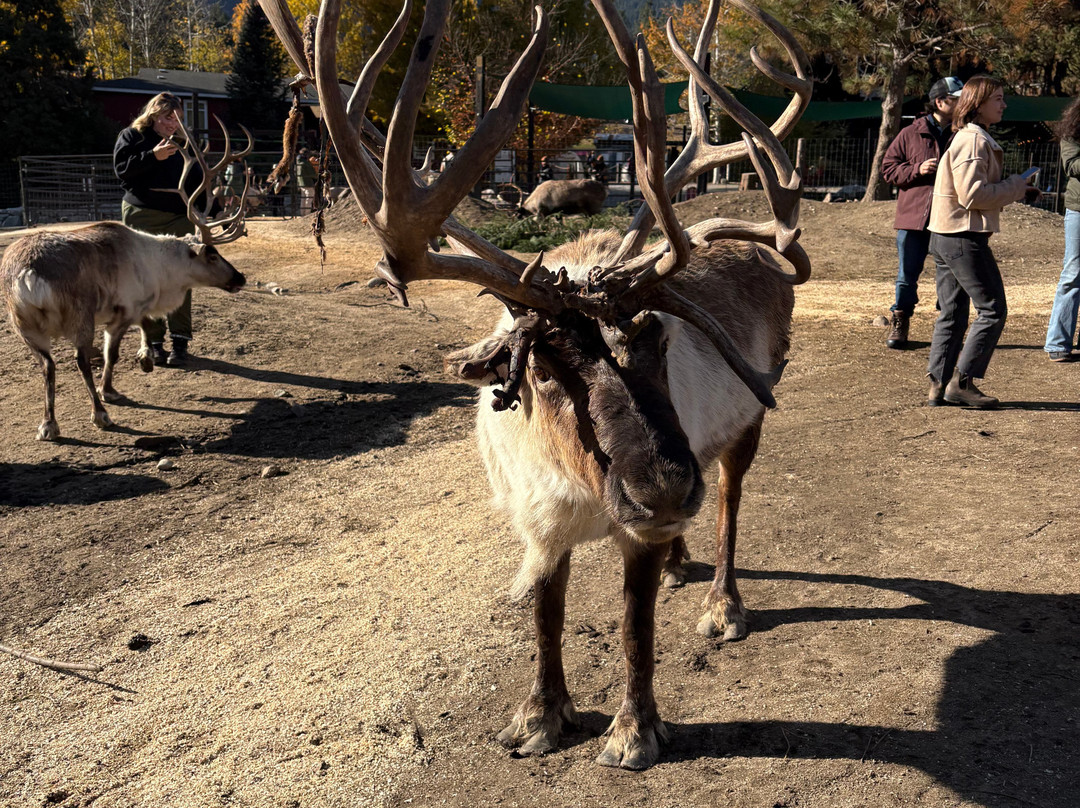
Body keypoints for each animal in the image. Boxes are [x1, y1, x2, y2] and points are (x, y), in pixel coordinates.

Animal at [1, 116, 251, 441]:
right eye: (211, 254)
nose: (240, 277)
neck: (160, 269)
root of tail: (29, 274)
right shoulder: (123, 310)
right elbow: (113, 353)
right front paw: (111, 389)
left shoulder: (132, 307)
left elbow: (146, 325)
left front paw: (145, 358)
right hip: (80, 316)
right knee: (80, 360)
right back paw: (100, 415)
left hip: (24, 326)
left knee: (47, 365)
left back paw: (48, 425)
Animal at [258, 0, 811, 770]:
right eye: (543, 369)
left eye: (659, 337)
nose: (665, 489)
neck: (571, 481)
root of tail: (764, 257)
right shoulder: (538, 522)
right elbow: (547, 620)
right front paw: (541, 717)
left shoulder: (632, 527)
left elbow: (635, 628)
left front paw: (634, 731)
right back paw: (681, 561)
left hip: (746, 427)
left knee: (729, 500)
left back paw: (722, 604)